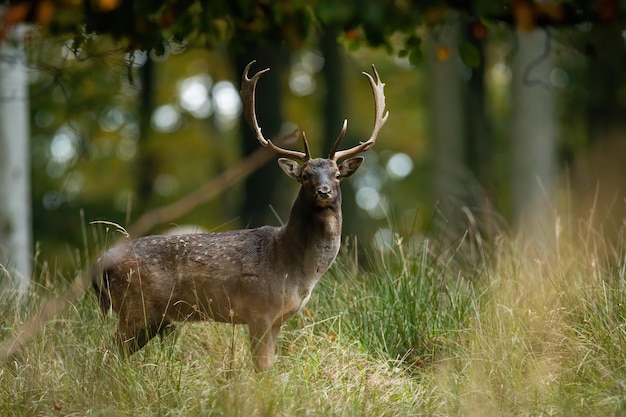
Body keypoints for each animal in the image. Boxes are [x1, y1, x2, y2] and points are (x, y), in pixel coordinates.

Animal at [91, 60, 388, 368]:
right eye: (305, 176)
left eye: (337, 174)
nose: (324, 192)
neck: (296, 268)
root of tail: (100, 264)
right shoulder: (259, 309)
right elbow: (261, 368)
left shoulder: (278, 318)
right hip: (136, 307)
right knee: (104, 353)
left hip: (151, 317)